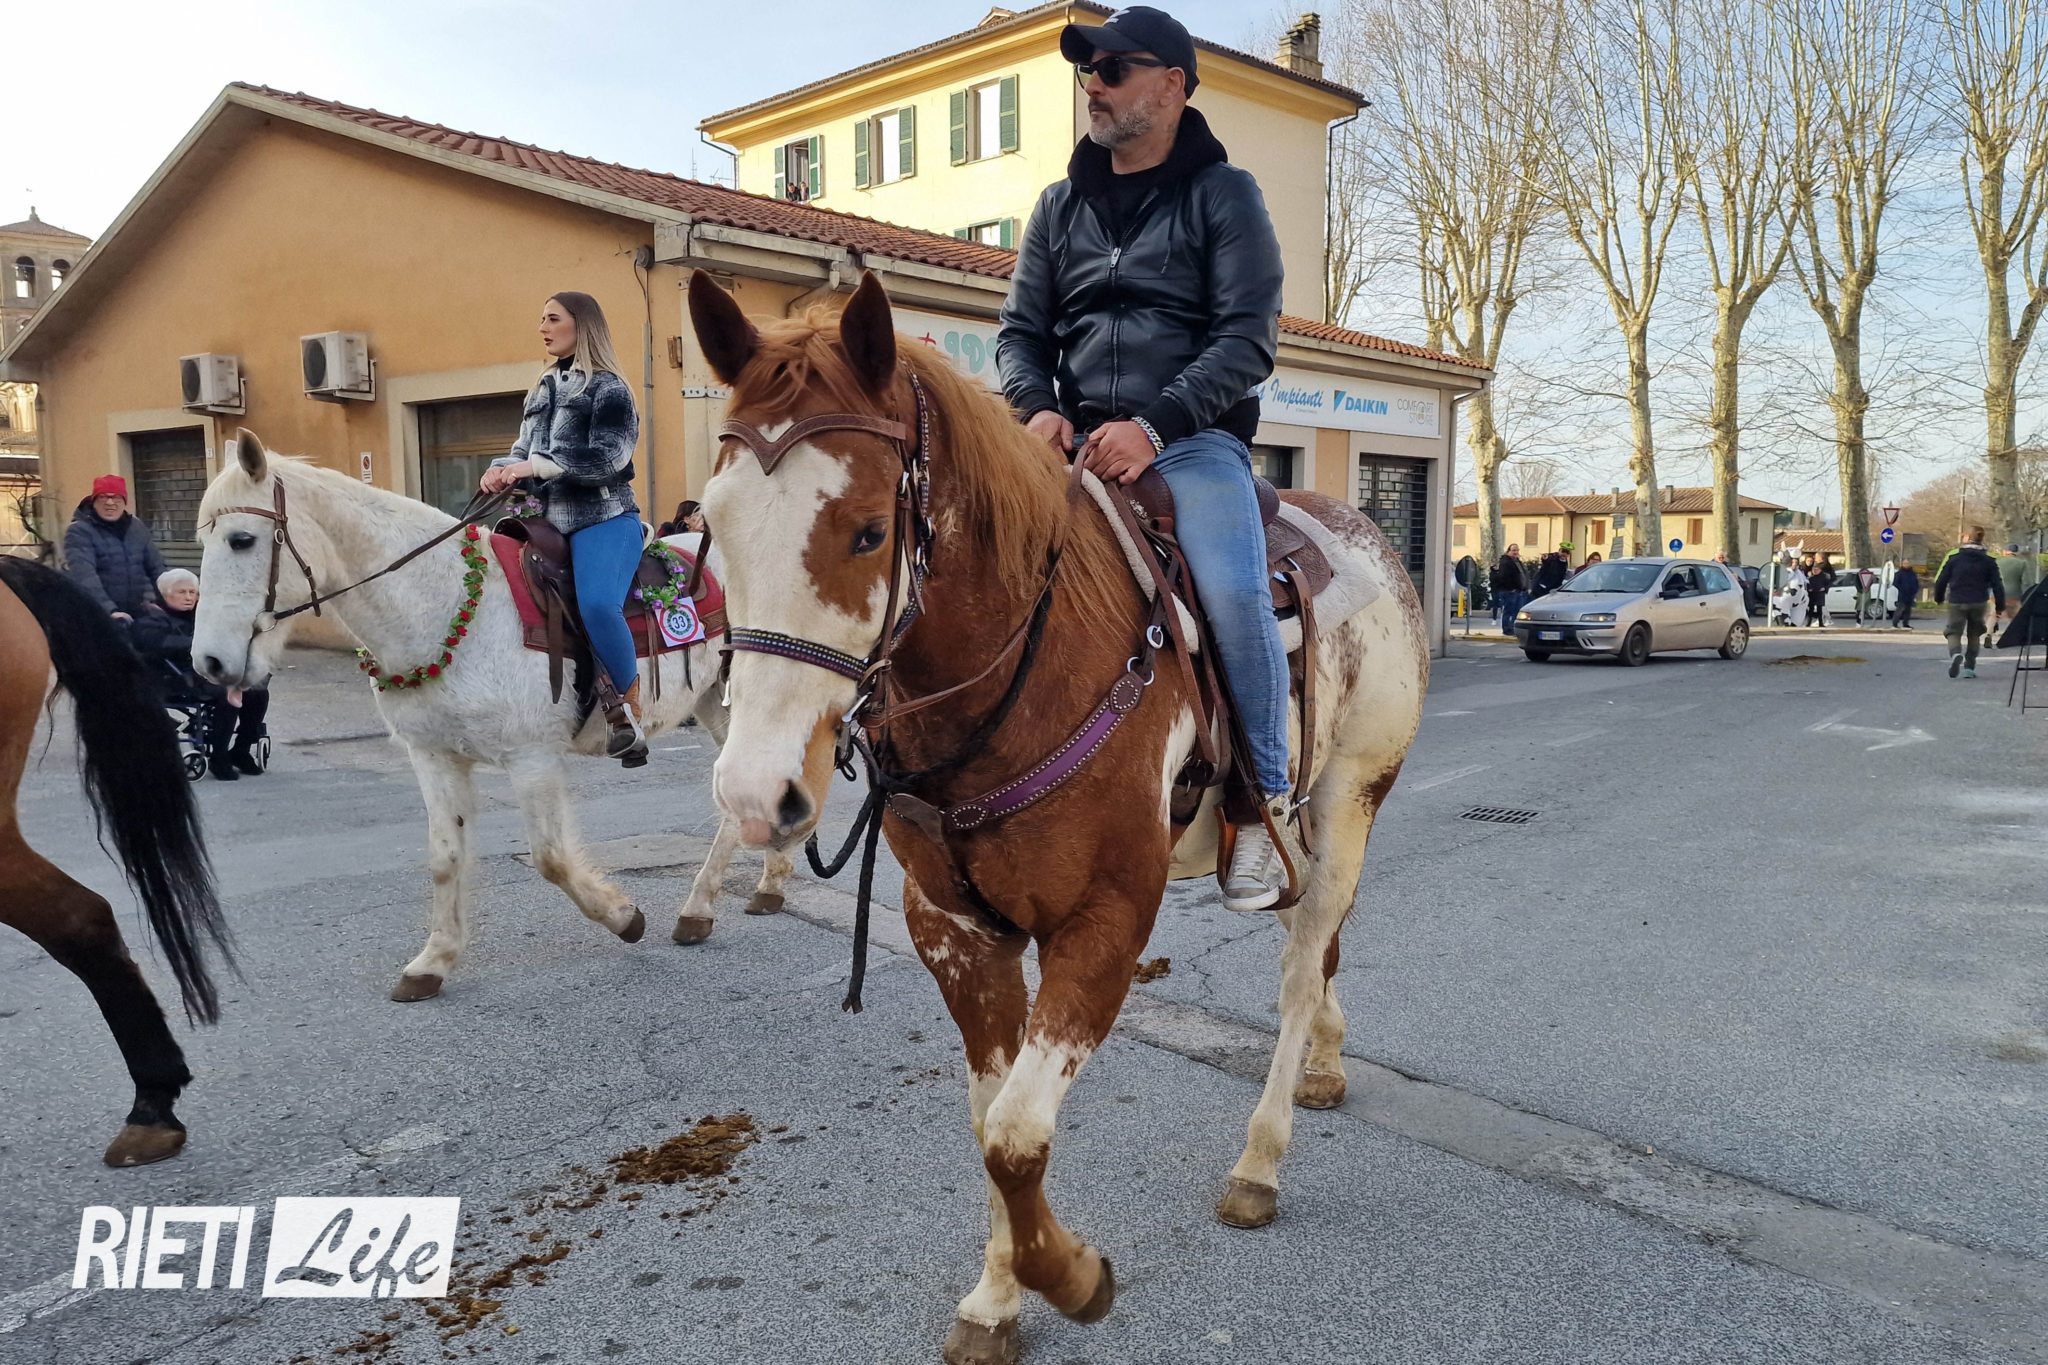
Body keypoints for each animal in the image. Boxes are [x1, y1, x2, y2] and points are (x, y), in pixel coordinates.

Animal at [188, 431, 792, 1003]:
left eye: (241, 540)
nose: (209, 663)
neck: (445, 608)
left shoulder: (532, 758)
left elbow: (551, 858)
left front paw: (624, 918)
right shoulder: (434, 757)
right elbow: (445, 857)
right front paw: (433, 962)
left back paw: (711, 904)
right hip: (714, 703)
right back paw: (755, 891)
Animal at [688, 271, 1429, 1364]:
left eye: (868, 529)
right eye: (713, 523)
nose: (753, 792)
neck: (1024, 672)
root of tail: (1366, 533)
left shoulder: (1105, 924)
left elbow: (1014, 1133)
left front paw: (1071, 1278)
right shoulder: (954, 928)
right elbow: (989, 1120)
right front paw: (998, 1298)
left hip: (1347, 804)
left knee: (1301, 970)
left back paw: (1260, 1158)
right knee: (1320, 948)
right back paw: (1327, 1067)